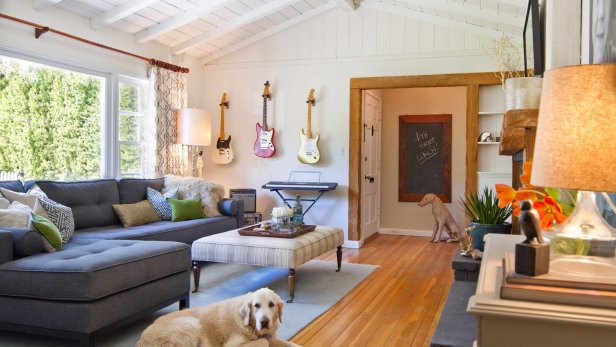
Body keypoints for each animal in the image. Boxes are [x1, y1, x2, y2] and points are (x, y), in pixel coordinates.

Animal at [137, 288, 300, 347]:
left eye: (271, 305)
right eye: (256, 305)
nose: (264, 321)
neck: (250, 326)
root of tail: (141, 339)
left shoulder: (273, 338)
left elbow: (291, 344)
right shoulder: (233, 345)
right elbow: (264, 342)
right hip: (190, 324)